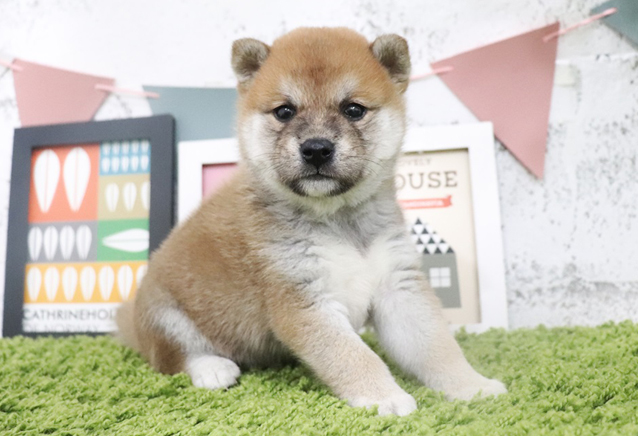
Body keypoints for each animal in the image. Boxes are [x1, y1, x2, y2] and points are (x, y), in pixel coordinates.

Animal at [116, 27, 506, 416]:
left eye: (353, 109)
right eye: (284, 111)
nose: (316, 148)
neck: (338, 219)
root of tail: (132, 323)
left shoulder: (398, 288)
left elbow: (438, 349)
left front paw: (472, 385)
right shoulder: (304, 299)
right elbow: (355, 357)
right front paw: (384, 397)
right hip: (166, 316)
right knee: (172, 358)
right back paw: (212, 368)